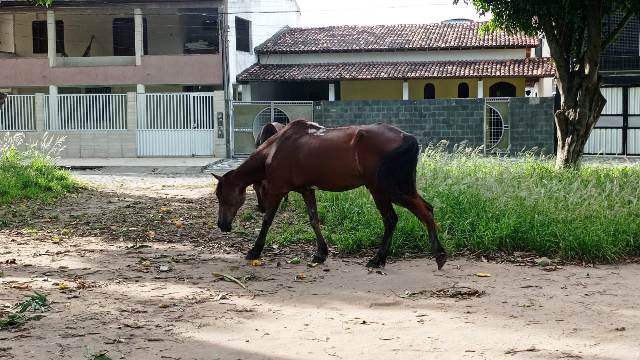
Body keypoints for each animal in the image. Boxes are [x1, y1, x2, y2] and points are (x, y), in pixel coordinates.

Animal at [215, 119, 444, 268]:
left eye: (222, 196)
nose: (222, 225)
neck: (276, 148)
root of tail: (406, 137)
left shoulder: (278, 190)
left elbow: (267, 221)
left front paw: (255, 250)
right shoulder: (306, 190)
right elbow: (314, 219)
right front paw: (320, 253)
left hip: (383, 189)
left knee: (399, 218)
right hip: (398, 187)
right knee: (425, 209)